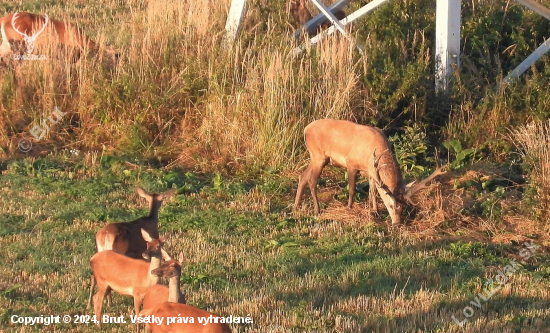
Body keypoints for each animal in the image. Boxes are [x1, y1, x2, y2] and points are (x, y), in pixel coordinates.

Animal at [296, 118, 446, 224]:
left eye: (403, 207)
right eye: (391, 205)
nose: (397, 223)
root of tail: (305, 129)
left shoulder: (371, 171)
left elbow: (373, 190)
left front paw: (375, 211)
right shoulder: (351, 164)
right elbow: (352, 189)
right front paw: (349, 208)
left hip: (319, 158)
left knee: (303, 176)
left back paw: (296, 205)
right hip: (318, 155)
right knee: (312, 180)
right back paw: (317, 210)